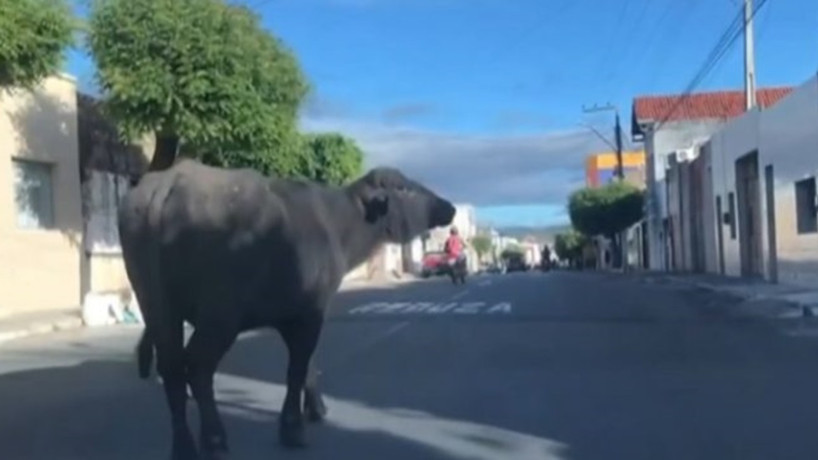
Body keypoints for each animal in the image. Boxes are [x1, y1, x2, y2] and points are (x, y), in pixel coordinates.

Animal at [118, 159, 456, 460]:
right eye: (404, 188)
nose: (449, 207)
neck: (337, 222)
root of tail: (169, 182)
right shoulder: (310, 312)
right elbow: (296, 368)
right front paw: (292, 428)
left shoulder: (294, 314)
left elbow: (308, 364)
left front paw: (316, 408)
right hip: (220, 314)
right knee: (198, 366)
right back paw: (213, 439)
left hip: (157, 305)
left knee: (172, 369)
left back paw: (184, 445)